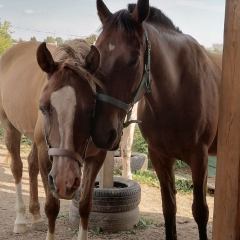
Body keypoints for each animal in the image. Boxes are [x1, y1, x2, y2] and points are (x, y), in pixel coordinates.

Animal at [0, 40, 106, 239]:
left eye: (91, 109)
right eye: (43, 107)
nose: (65, 181)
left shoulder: (96, 159)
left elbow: (85, 206)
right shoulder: (45, 153)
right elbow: (52, 207)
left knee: (31, 164)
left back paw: (35, 215)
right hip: (10, 126)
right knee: (17, 167)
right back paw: (21, 220)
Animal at [86, 0, 221, 239]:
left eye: (133, 60)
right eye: (96, 55)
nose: (101, 133)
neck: (176, 92)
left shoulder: (200, 158)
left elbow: (201, 211)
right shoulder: (160, 157)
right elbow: (169, 208)